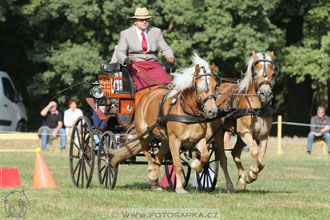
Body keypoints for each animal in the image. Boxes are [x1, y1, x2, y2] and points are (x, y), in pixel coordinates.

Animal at [109, 54, 220, 193]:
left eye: (215, 86)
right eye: (199, 87)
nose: (212, 111)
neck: (188, 113)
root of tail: (146, 95)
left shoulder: (199, 140)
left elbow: (204, 157)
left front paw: (194, 163)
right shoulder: (174, 140)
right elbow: (177, 165)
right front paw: (179, 188)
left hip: (165, 140)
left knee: (157, 158)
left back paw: (155, 183)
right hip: (145, 134)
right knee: (147, 152)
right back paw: (152, 175)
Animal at [210, 51, 278, 191]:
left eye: (273, 74)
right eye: (255, 73)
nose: (265, 94)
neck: (257, 108)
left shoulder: (263, 136)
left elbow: (261, 162)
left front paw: (246, 177)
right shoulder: (245, 132)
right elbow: (255, 151)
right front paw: (250, 175)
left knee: (235, 152)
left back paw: (241, 180)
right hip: (221, 133)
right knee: (223, 158)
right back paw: (230, 185)